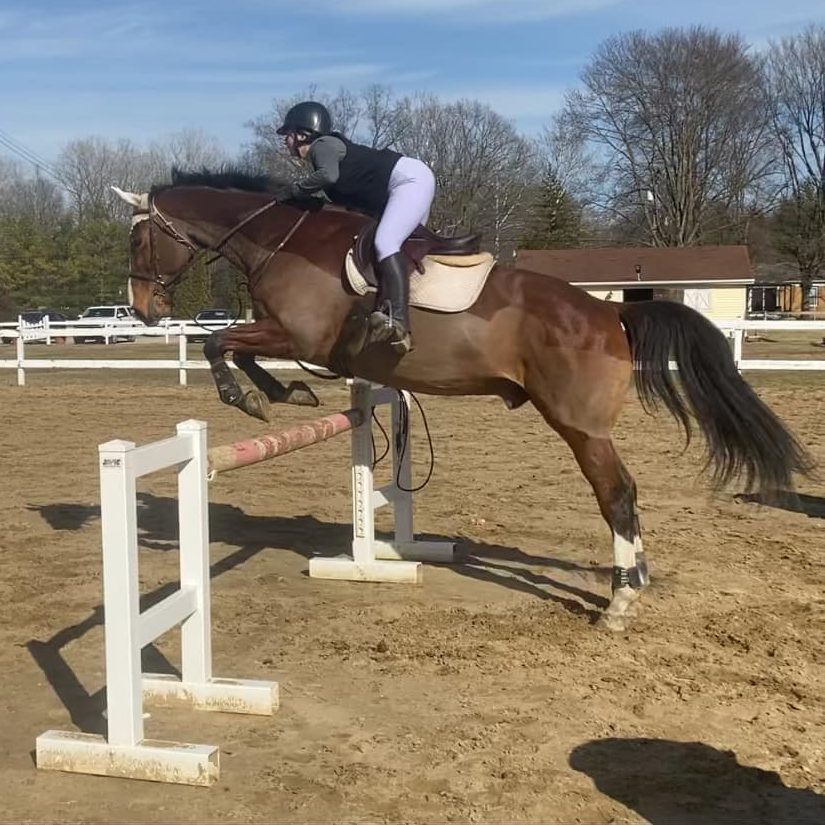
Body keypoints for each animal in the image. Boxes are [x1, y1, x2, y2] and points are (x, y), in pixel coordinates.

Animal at [113, 169, 814, 632]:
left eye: (137, 241)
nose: (143, 310)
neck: (280, 238)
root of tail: (609, 312)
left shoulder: (299, 335)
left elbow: (219, 343)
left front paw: (254, 397)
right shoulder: (291, 338)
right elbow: (237, 347)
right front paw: (288, 392)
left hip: (581, 426)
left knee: (617, 494)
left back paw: (618, 604)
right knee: (627, 495)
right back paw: (635, 579)